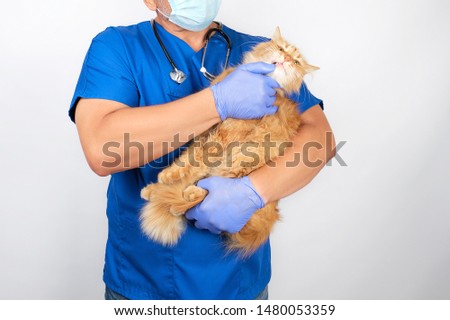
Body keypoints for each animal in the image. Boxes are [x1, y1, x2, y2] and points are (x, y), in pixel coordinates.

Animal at [139, 27, 318, 258]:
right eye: (281, 48)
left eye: (296, 62)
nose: (286, 59)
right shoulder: (204, 132)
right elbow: (186, 161)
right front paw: (168, 176)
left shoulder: (223, 137)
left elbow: (197, 163)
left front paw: (168, 177)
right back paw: (155, 191)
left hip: (241, 161)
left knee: (214, 190)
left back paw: (187, 199)